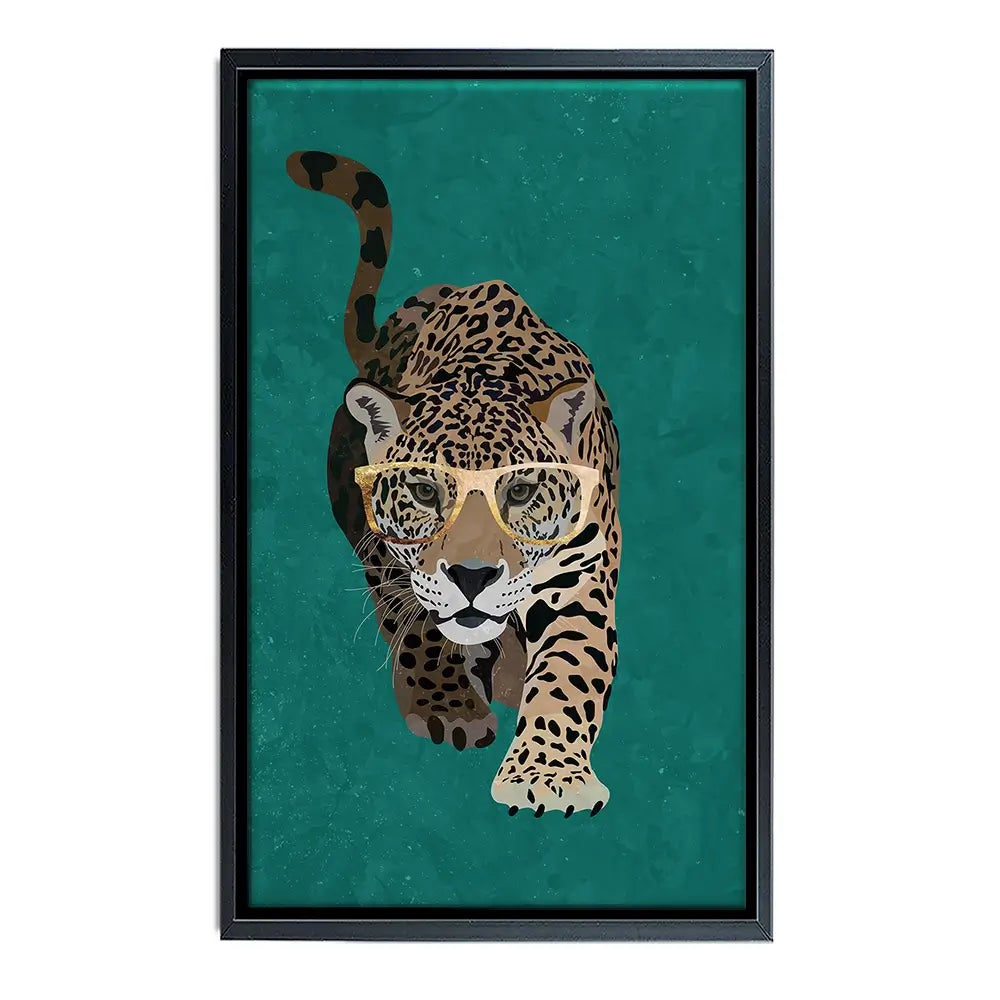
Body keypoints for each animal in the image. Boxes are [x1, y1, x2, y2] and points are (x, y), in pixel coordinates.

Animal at [286, 150, 622, 817]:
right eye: (423, 491)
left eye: (519, 491)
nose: (472, 577)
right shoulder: (390, 554)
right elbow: (419, 624)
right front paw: (448, 706)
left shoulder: (581, 574)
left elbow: (569, 670)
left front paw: (547, 776)